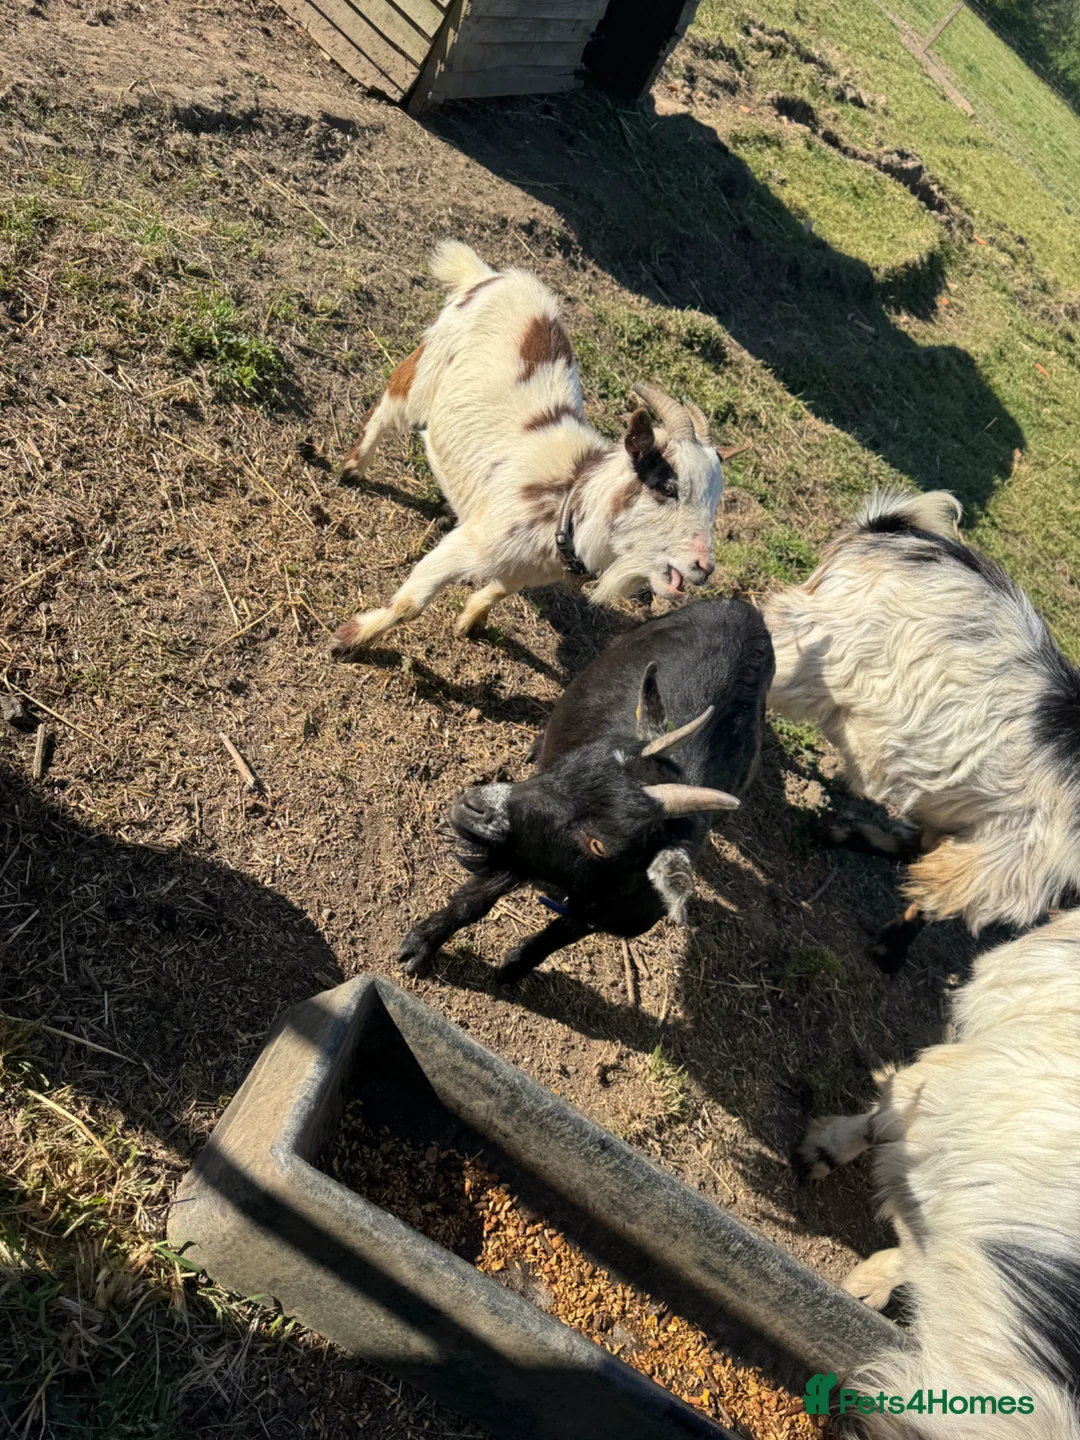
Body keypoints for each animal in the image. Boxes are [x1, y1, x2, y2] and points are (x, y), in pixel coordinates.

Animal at [332, 241, 723, 657]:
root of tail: (492, 276)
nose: (704, 567)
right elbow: (412, 601)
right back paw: (352, 469)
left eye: (715, 505)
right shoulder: (469, 545)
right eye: (667, 487)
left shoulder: (523, 570)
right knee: (385, 410)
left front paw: (471, 620)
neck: (567, 500)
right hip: (426, 368)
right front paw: (352, 637)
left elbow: (501, 589)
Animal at [397, 597, 774, 982]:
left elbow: (559, 935)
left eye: (598, 844)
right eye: (575, 763)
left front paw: (515, 967)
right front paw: (421, 944)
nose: (473, 807)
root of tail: (744, 608)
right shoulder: (521, 847)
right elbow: (479, 896)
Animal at [763, 488, 1080, 971]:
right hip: (814, 649)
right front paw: (889, 952)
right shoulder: (1007, 869)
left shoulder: (969, 822)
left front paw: (841, 833)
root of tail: (886, 530)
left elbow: (917, 850)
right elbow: (935, 900)